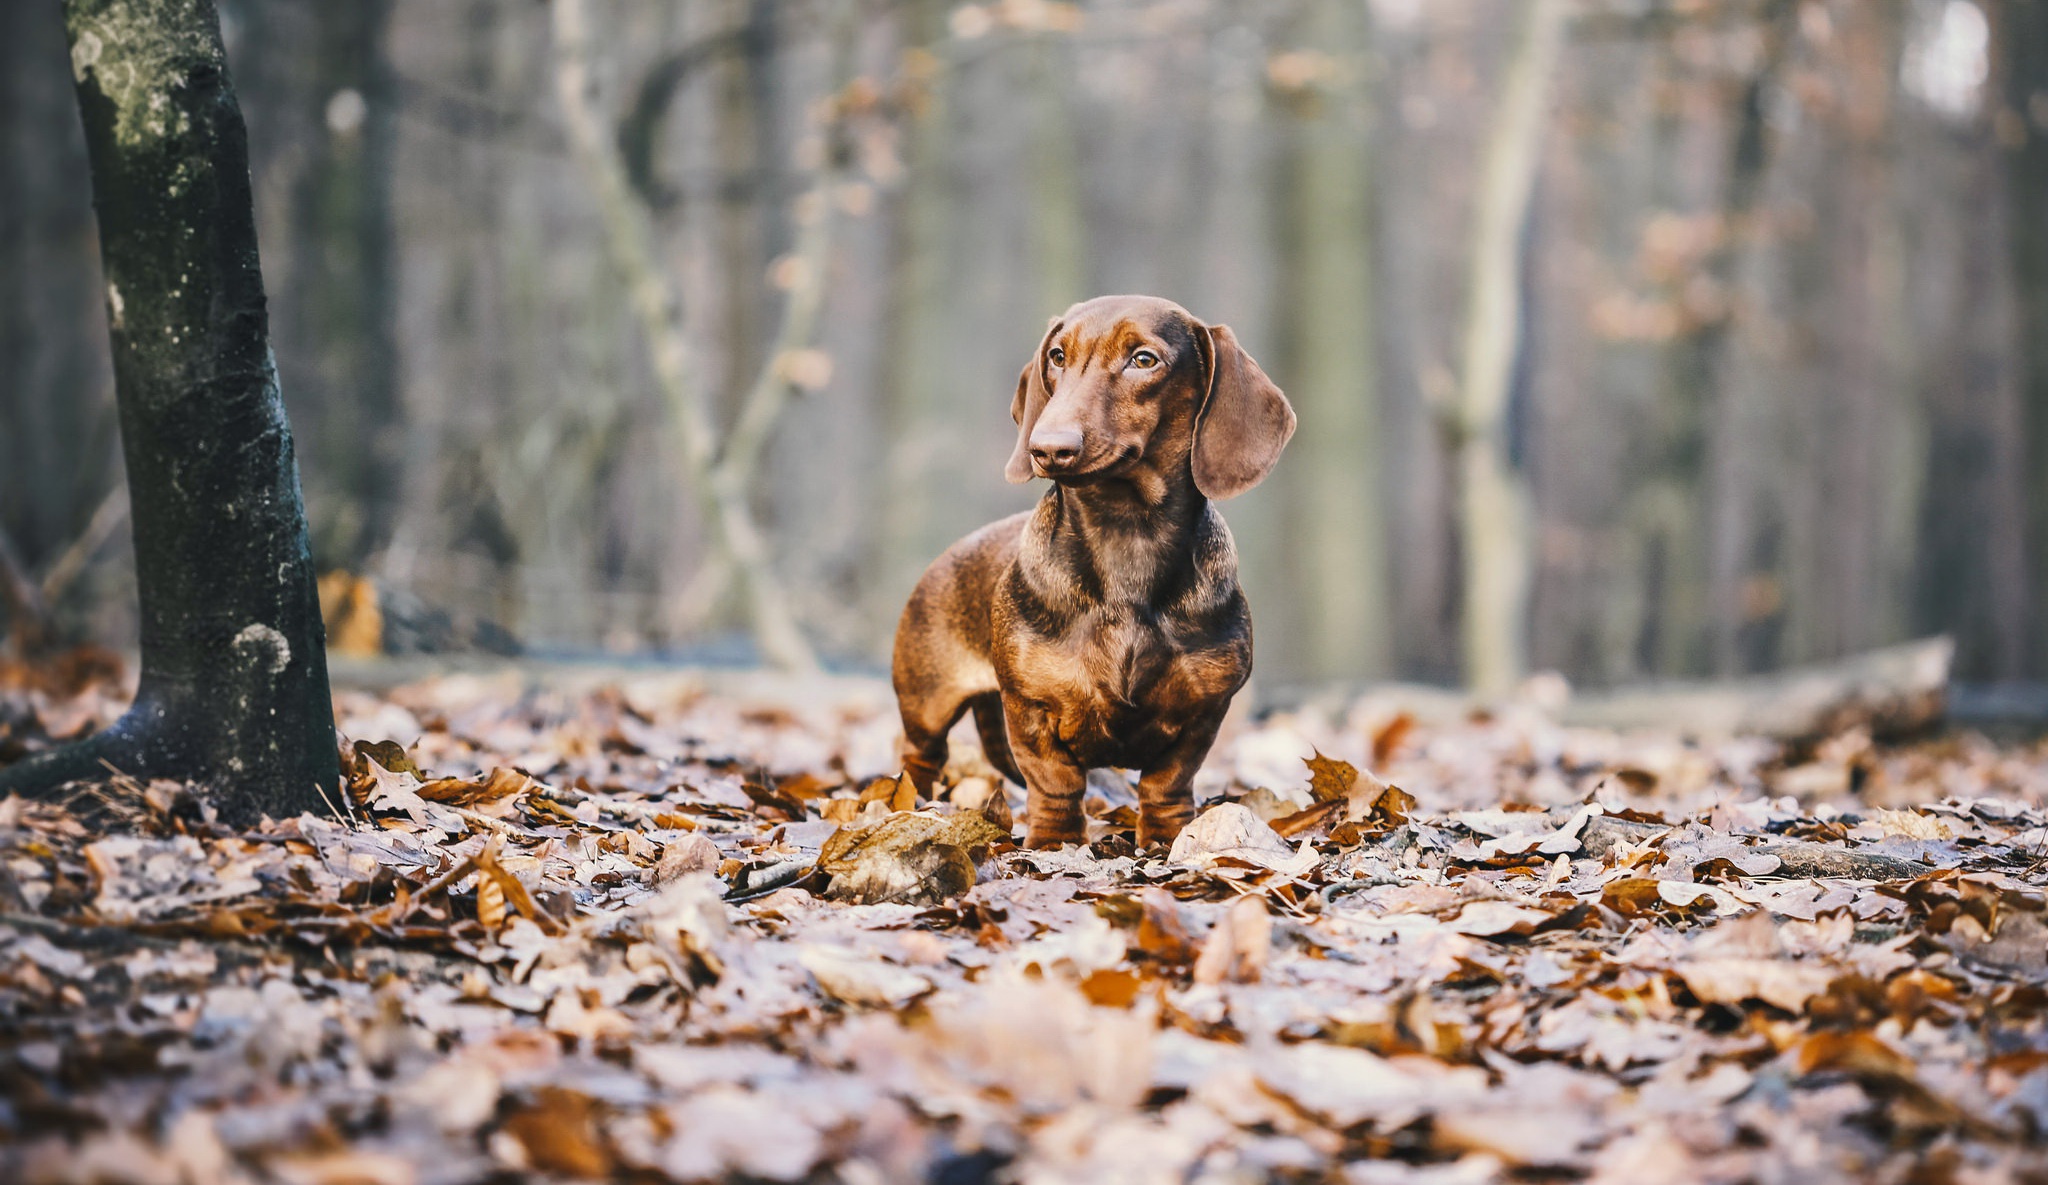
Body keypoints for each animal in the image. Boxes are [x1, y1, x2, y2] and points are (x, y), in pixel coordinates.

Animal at [884, 296, 1294, 851]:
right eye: (1057, 356)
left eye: (1144, 360)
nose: (1046, 447)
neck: (1126, 536)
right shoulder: (1030, 708)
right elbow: (1055, 781)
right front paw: (1053, 842)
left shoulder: (1203, 713)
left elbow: (1168, 783)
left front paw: (1166, 839)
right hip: (926, 707)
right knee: (920, 759)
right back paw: (907, 806)